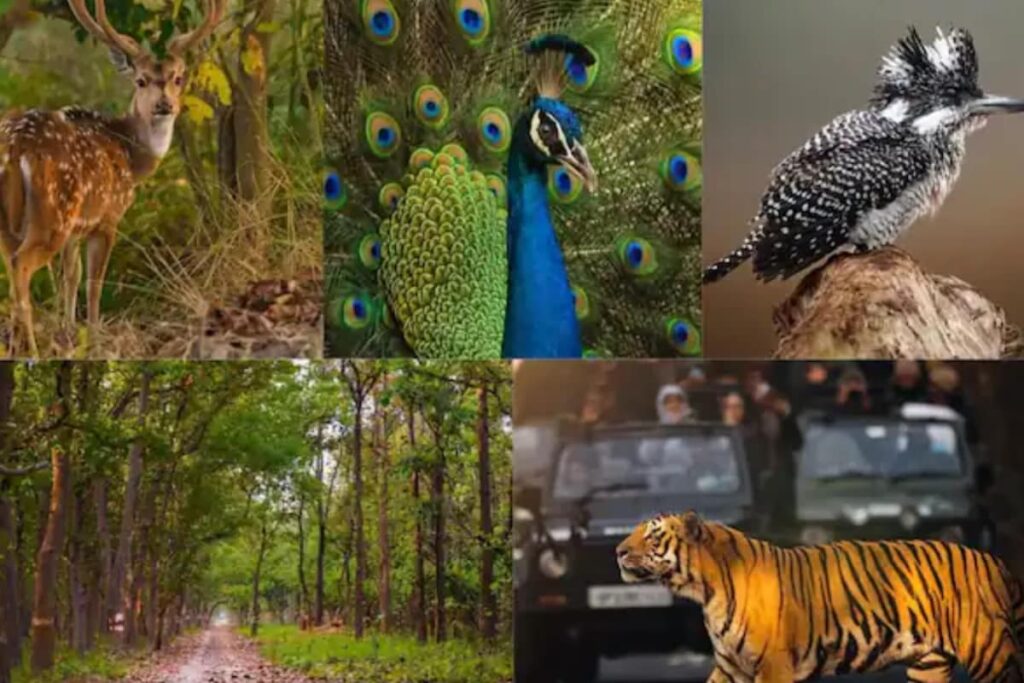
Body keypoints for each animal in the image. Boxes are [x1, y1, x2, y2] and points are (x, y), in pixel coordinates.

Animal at [616, 511, 1024, 682]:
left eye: (651, 536)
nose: (618, 551)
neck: (705, 589)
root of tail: (996, 562)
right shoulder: (732, 668)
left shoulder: (773, 668)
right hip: (930, 665)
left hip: (990, 655)